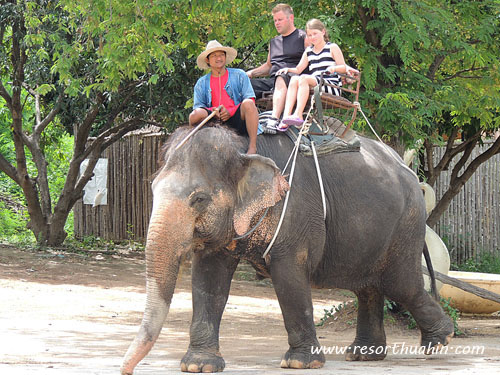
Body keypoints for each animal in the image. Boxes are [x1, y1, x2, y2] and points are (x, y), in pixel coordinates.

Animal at [120, 123, 454, 374]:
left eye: (198, 199)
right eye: (152, 190)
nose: (126, 369)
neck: (245, 148)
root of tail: (410, 172)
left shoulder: (295, 212)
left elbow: (289, 275)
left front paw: (300, 363)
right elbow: (208, 281)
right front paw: (198, 366)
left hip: (406, 224)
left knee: (401, 283)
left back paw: (440, 339)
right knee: (369, 287)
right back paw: (363, 355)